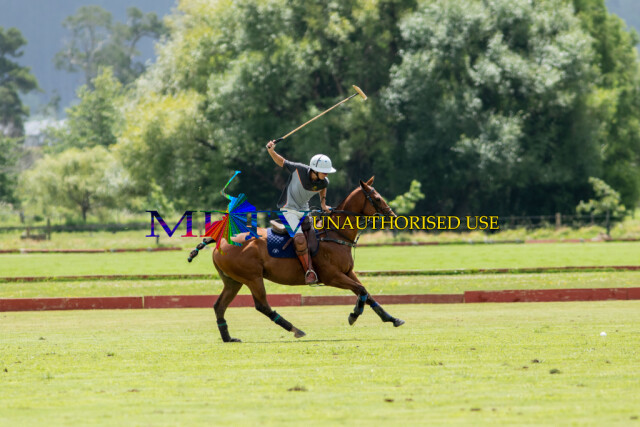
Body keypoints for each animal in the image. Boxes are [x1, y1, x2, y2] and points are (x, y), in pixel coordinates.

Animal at [188, 176, 404, 342]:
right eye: (377, 198)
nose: (393, 215)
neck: (336, 233)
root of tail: (220, 239)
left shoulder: (347, 272)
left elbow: (366, 292)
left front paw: (392, 319)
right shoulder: (332, 277)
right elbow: (361, 291)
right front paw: (354, 314)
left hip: (233, 280)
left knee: (219, 305)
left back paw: (228, 338)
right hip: (252, 278)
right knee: (262, 305)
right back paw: (295, 329)